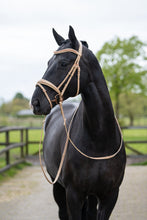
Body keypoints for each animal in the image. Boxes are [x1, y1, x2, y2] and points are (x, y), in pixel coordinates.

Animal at [31, 26, 126, 219]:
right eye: (48, 62)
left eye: (63, 63)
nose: (35, 102)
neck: (99, 139)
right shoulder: (73, 195)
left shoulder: (110, 195)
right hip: (57, 187)